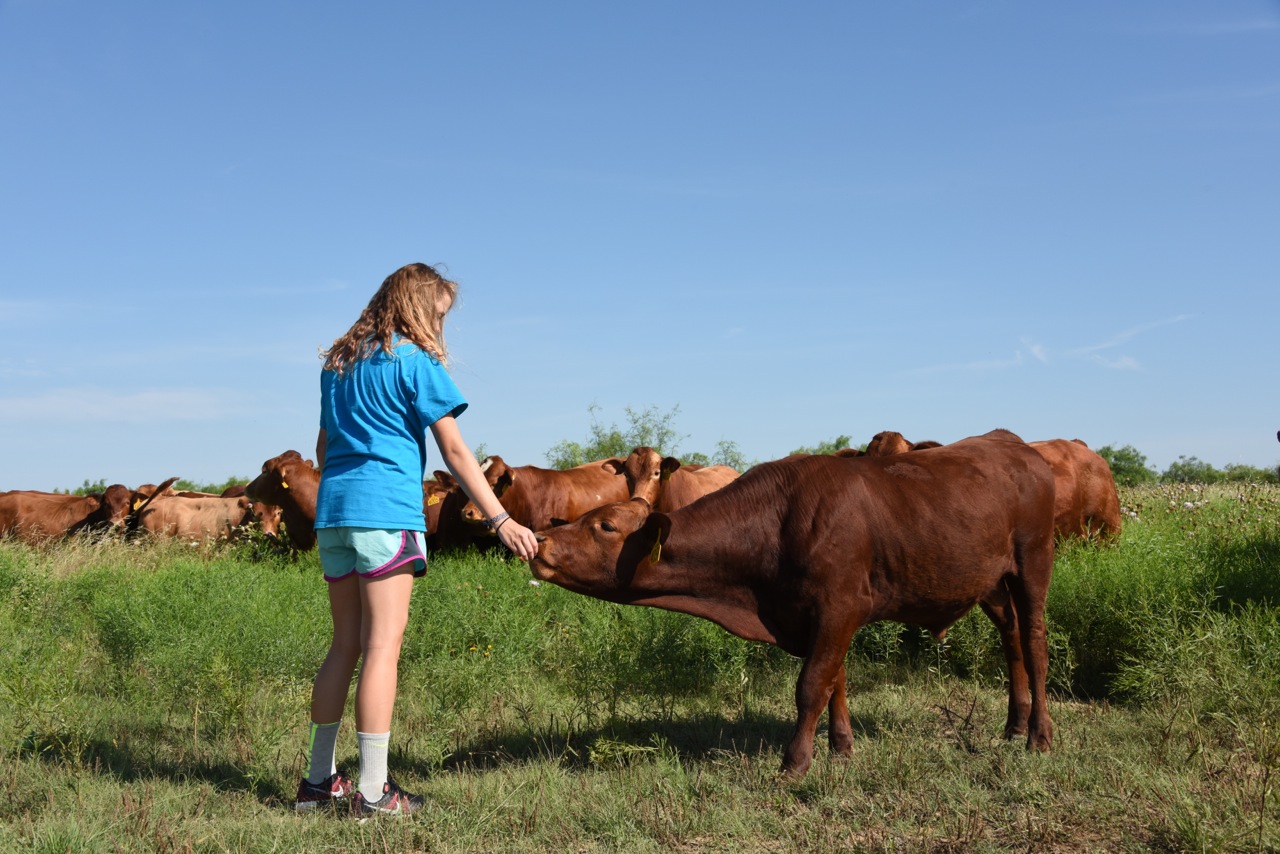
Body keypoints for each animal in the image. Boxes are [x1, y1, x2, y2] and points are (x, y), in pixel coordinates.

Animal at [529, 430, 1059, 778]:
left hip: (1033, 562)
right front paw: (842, 748)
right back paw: (1013, 725)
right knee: (1011, 636)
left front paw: (795, 763)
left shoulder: (841, 604)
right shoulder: (819, 615)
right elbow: (834, 681)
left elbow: (811, 685)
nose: (541, 541)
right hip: (990, 582)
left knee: (1035, 640)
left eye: (605, 526)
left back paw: (1039, 735)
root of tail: (1011, 442)